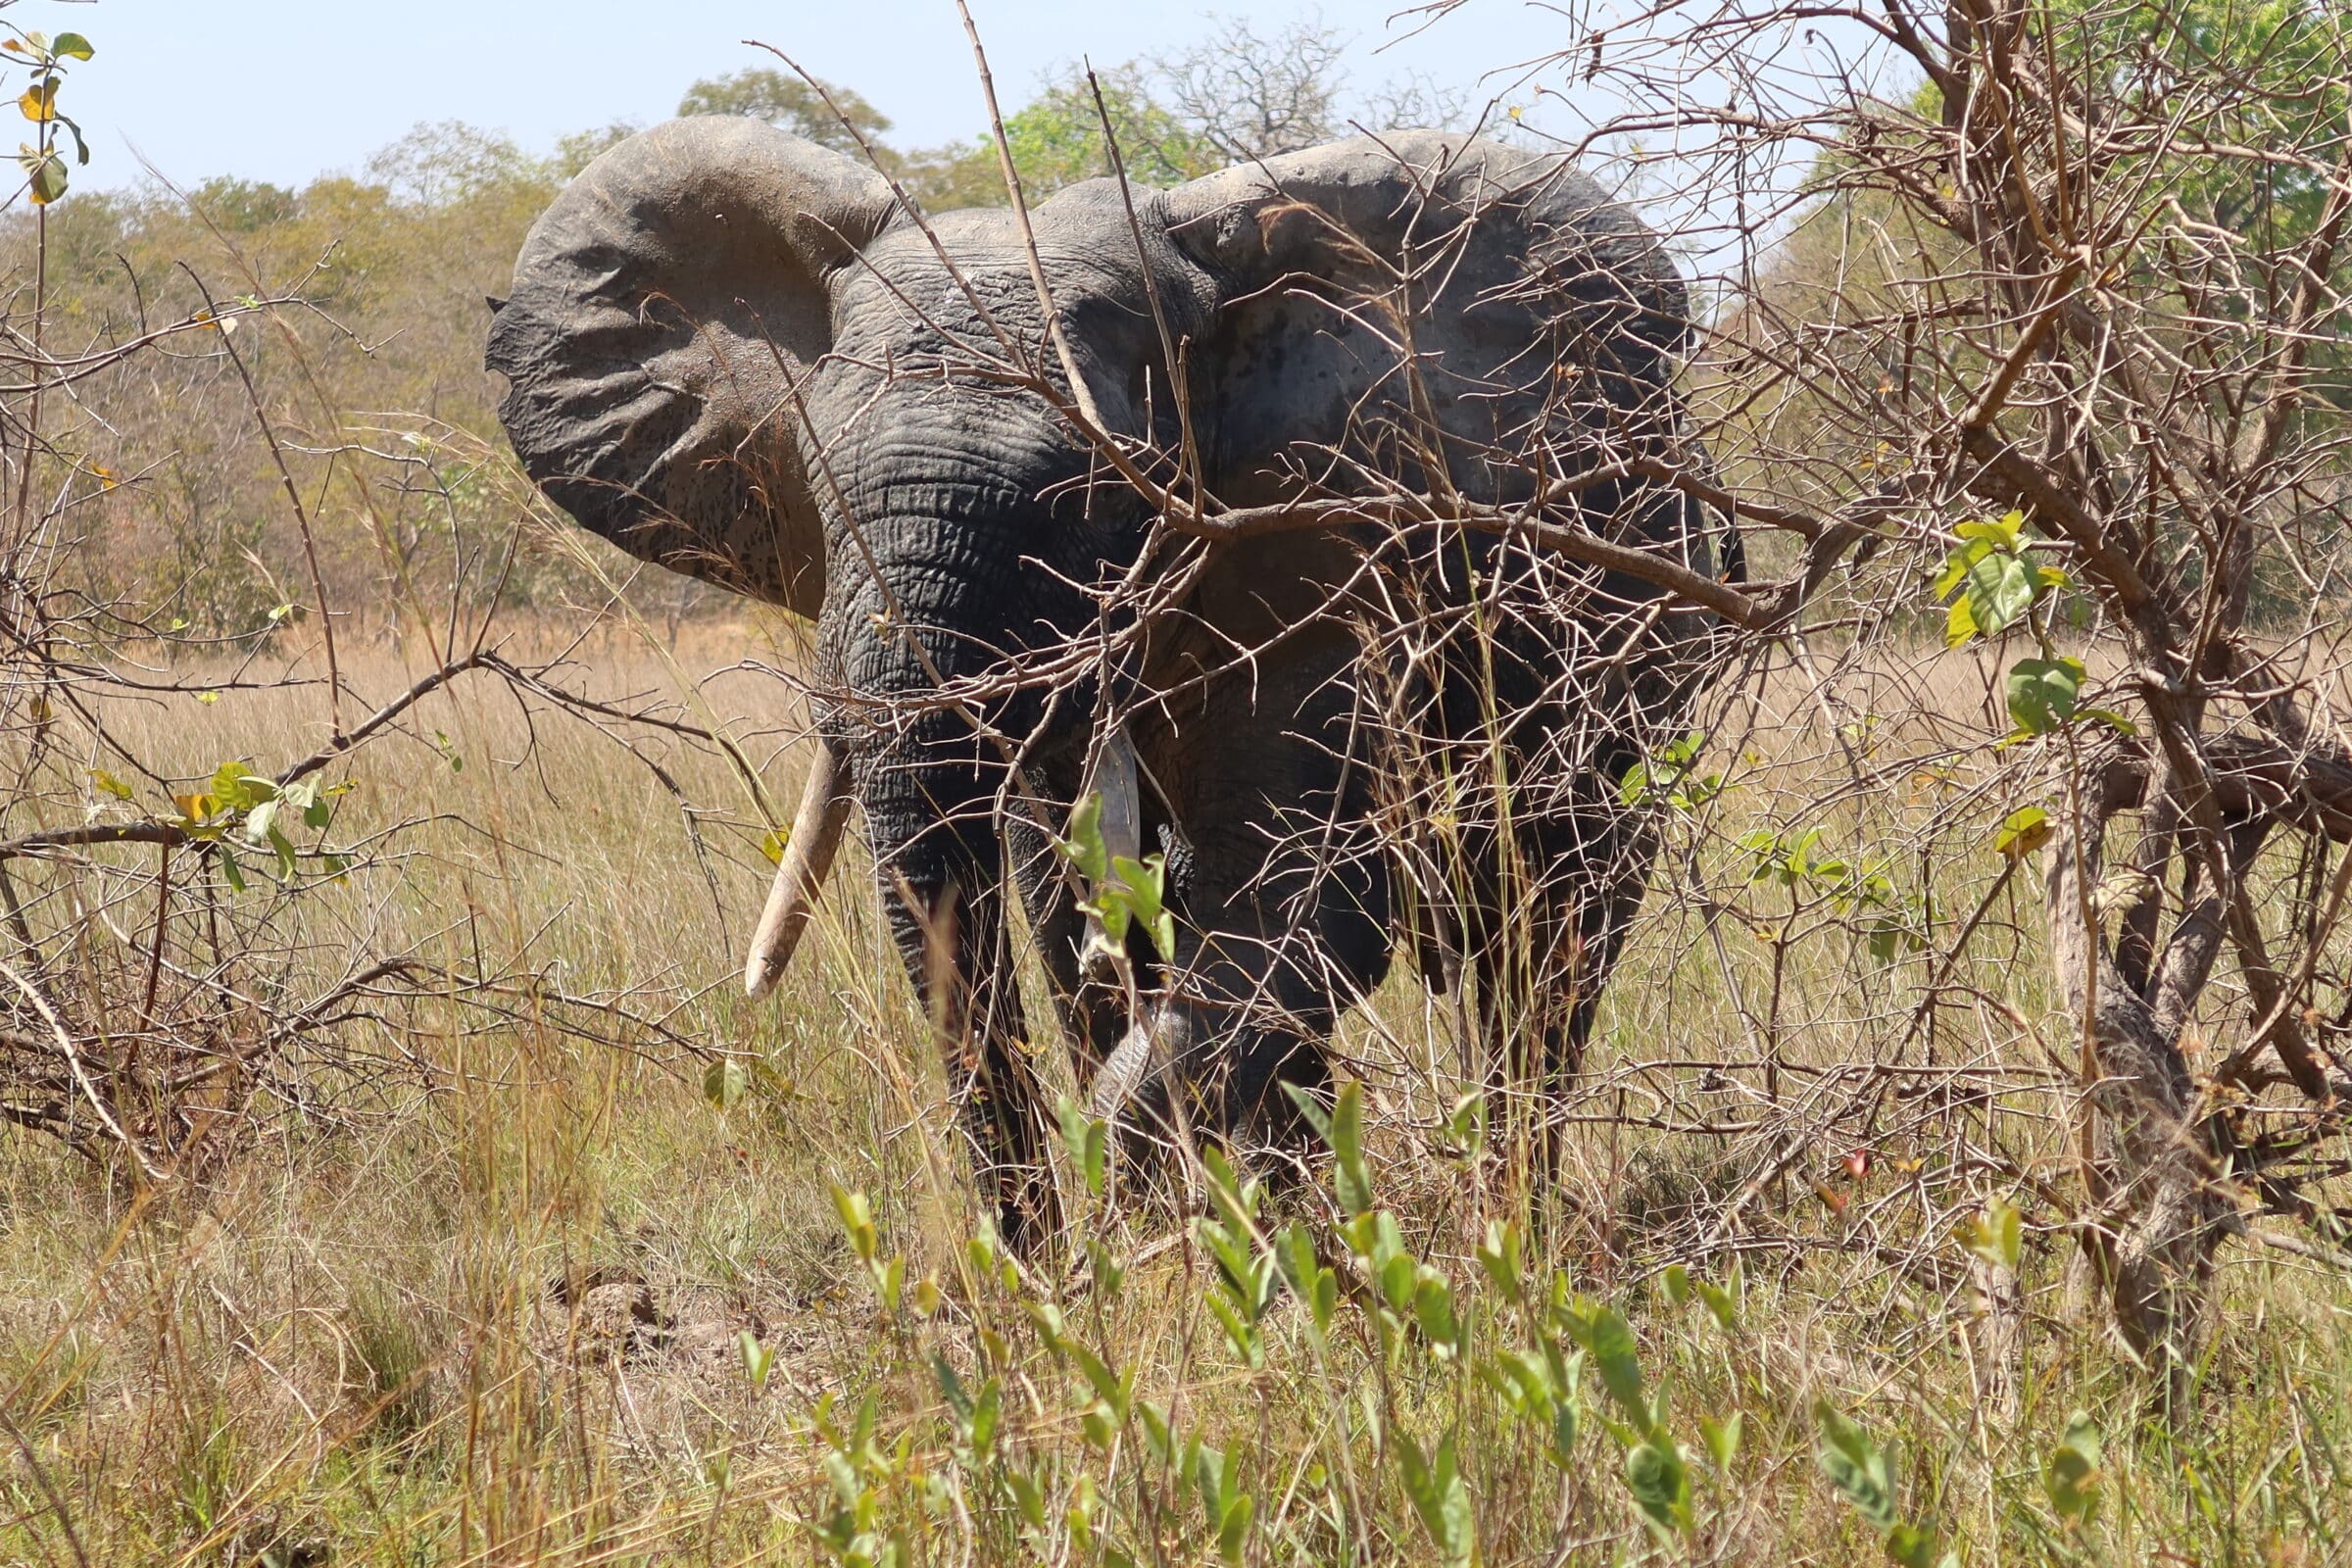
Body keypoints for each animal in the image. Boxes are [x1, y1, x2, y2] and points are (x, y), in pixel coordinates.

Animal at [486, 113, 1740, 1250]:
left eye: (1099, 494)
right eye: (818, 480)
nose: (1031, 1270)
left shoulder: (1332, 554)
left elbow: (1307, 906)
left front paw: (1144, 1233)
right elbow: (1069, 921)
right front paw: (1182, 1260)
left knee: (1551, 942)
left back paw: (1512, 1239)